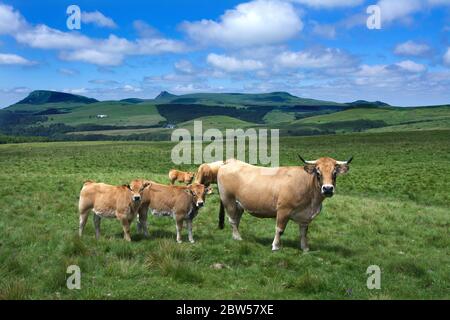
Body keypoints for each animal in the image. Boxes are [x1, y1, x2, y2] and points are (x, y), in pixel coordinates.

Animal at [217, 156, 352, 251]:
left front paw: (305, 248)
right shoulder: (283, 210)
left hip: (239, 205)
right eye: (318, 173)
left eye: (334, 173)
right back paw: (237, 237)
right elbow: (280, 229)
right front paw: (276, 246)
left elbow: (303, 232)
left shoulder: (305, 216)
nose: (328, 189)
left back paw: (236, 236)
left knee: (236, 220)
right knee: (232, 220)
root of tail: (231, 161)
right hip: (228, 200)